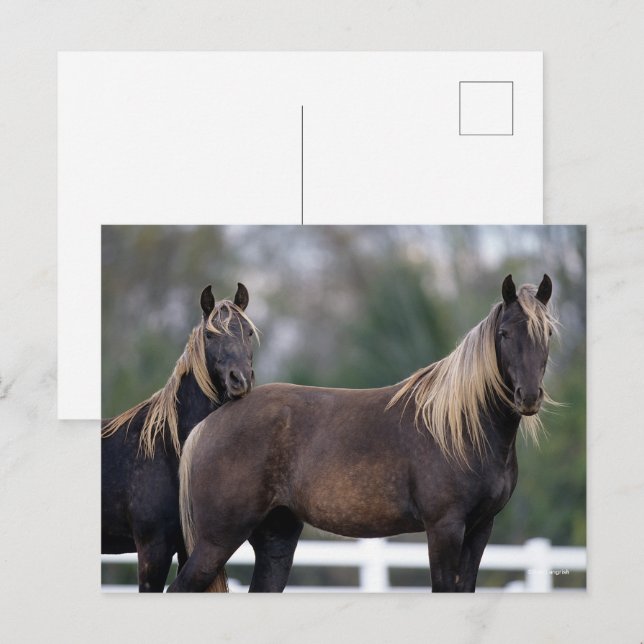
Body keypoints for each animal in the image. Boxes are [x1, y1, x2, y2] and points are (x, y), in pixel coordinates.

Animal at [101, 283, 257, 592]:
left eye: (247, 331)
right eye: (210, 334)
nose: (240, 379)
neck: (167, 450)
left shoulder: (187, 547)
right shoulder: (153, 550)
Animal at [168, 274, 558, 593]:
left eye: (548, 334)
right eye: (504, 333)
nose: (528, 396)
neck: (459, 426)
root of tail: (210, 424)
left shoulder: (480, 529)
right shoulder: (444, 528)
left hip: (274, 539)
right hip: (217, 541)